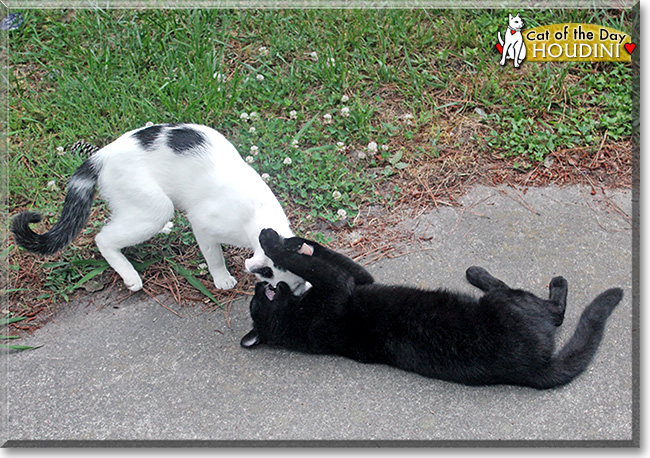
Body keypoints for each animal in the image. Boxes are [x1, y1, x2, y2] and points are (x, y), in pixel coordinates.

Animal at [240, 229, 620, 390]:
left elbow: (323, 255)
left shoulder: (358, 279)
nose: (259, 287)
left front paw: (291, 240)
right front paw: (271, 241)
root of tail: (534, 368)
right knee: (553, 310)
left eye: (254, 300)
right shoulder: (338, 286)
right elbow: (310, 264)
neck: (295, 318)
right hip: (509, 303)